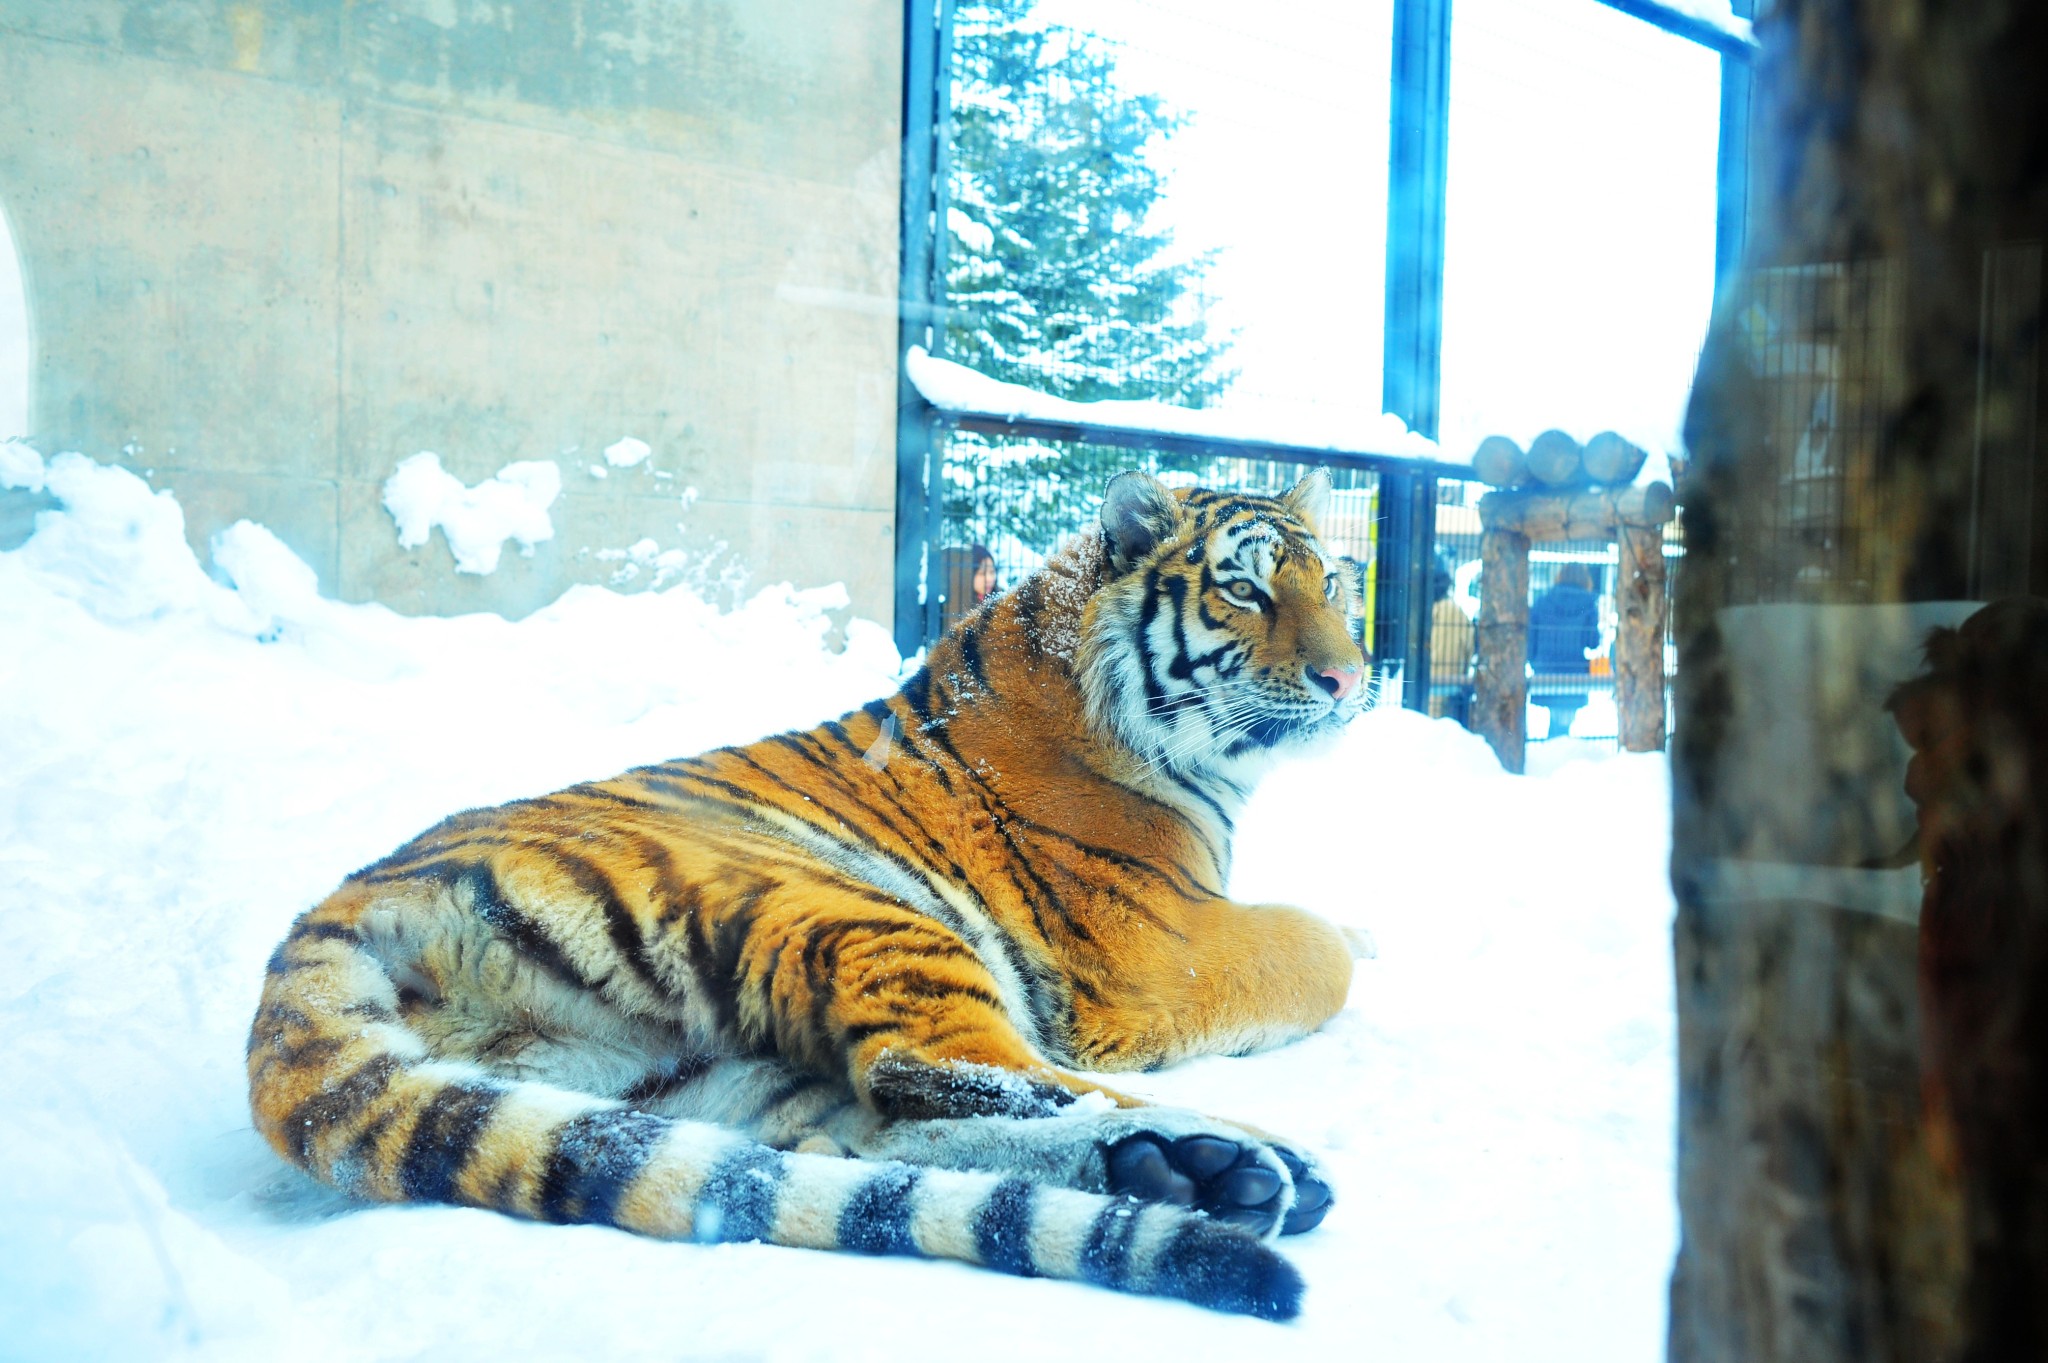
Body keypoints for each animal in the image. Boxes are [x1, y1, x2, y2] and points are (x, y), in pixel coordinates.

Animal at [251, 466, 1376, 1317]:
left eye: (1332, 583)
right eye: (1247, 591)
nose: (1349, 681)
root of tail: (328, 919)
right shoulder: (1147, 957)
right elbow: (1321, 951)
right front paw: (1356, 945)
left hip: (688, 1070)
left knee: (893, 1125)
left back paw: (1183, 1170)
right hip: (846, 907)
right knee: (940, 1070)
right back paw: (1243, 1160)